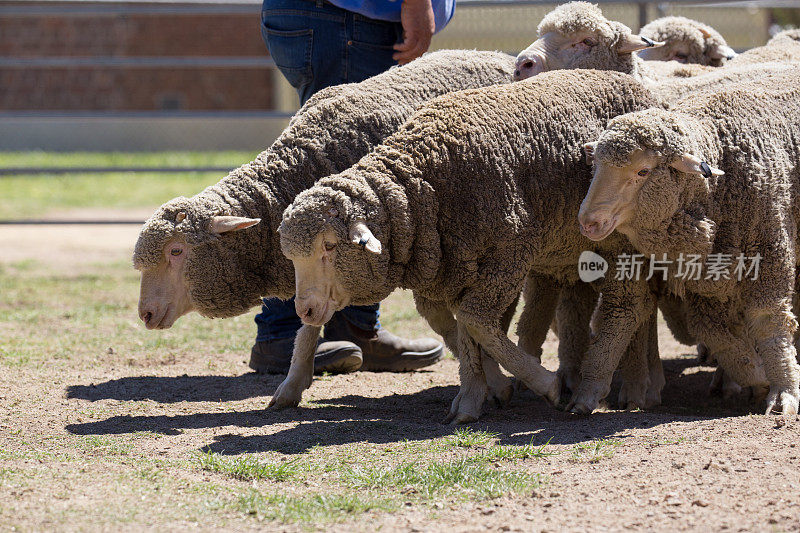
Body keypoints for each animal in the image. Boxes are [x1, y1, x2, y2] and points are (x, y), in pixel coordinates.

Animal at [276, 68, 664, 422]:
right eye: (290, 257)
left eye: (329, 246)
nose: (304, 311)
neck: (422, 186)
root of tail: (634, 83)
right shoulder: (459, 263)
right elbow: (466, 330)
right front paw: (474, 396)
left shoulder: (508, 254)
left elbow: (474, 320)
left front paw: (544, 385)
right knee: (638, 305)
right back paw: (633, 385)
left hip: (622, 239)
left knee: (628, 307)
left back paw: (613, 389)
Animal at [576, 68, 800, 414]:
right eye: (596, 165)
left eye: (643, 171)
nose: (588, 222)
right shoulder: (708, 278)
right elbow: (712, 329)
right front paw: (755, 374)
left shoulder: (770, 252)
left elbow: (768, 321)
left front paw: (783, 391)